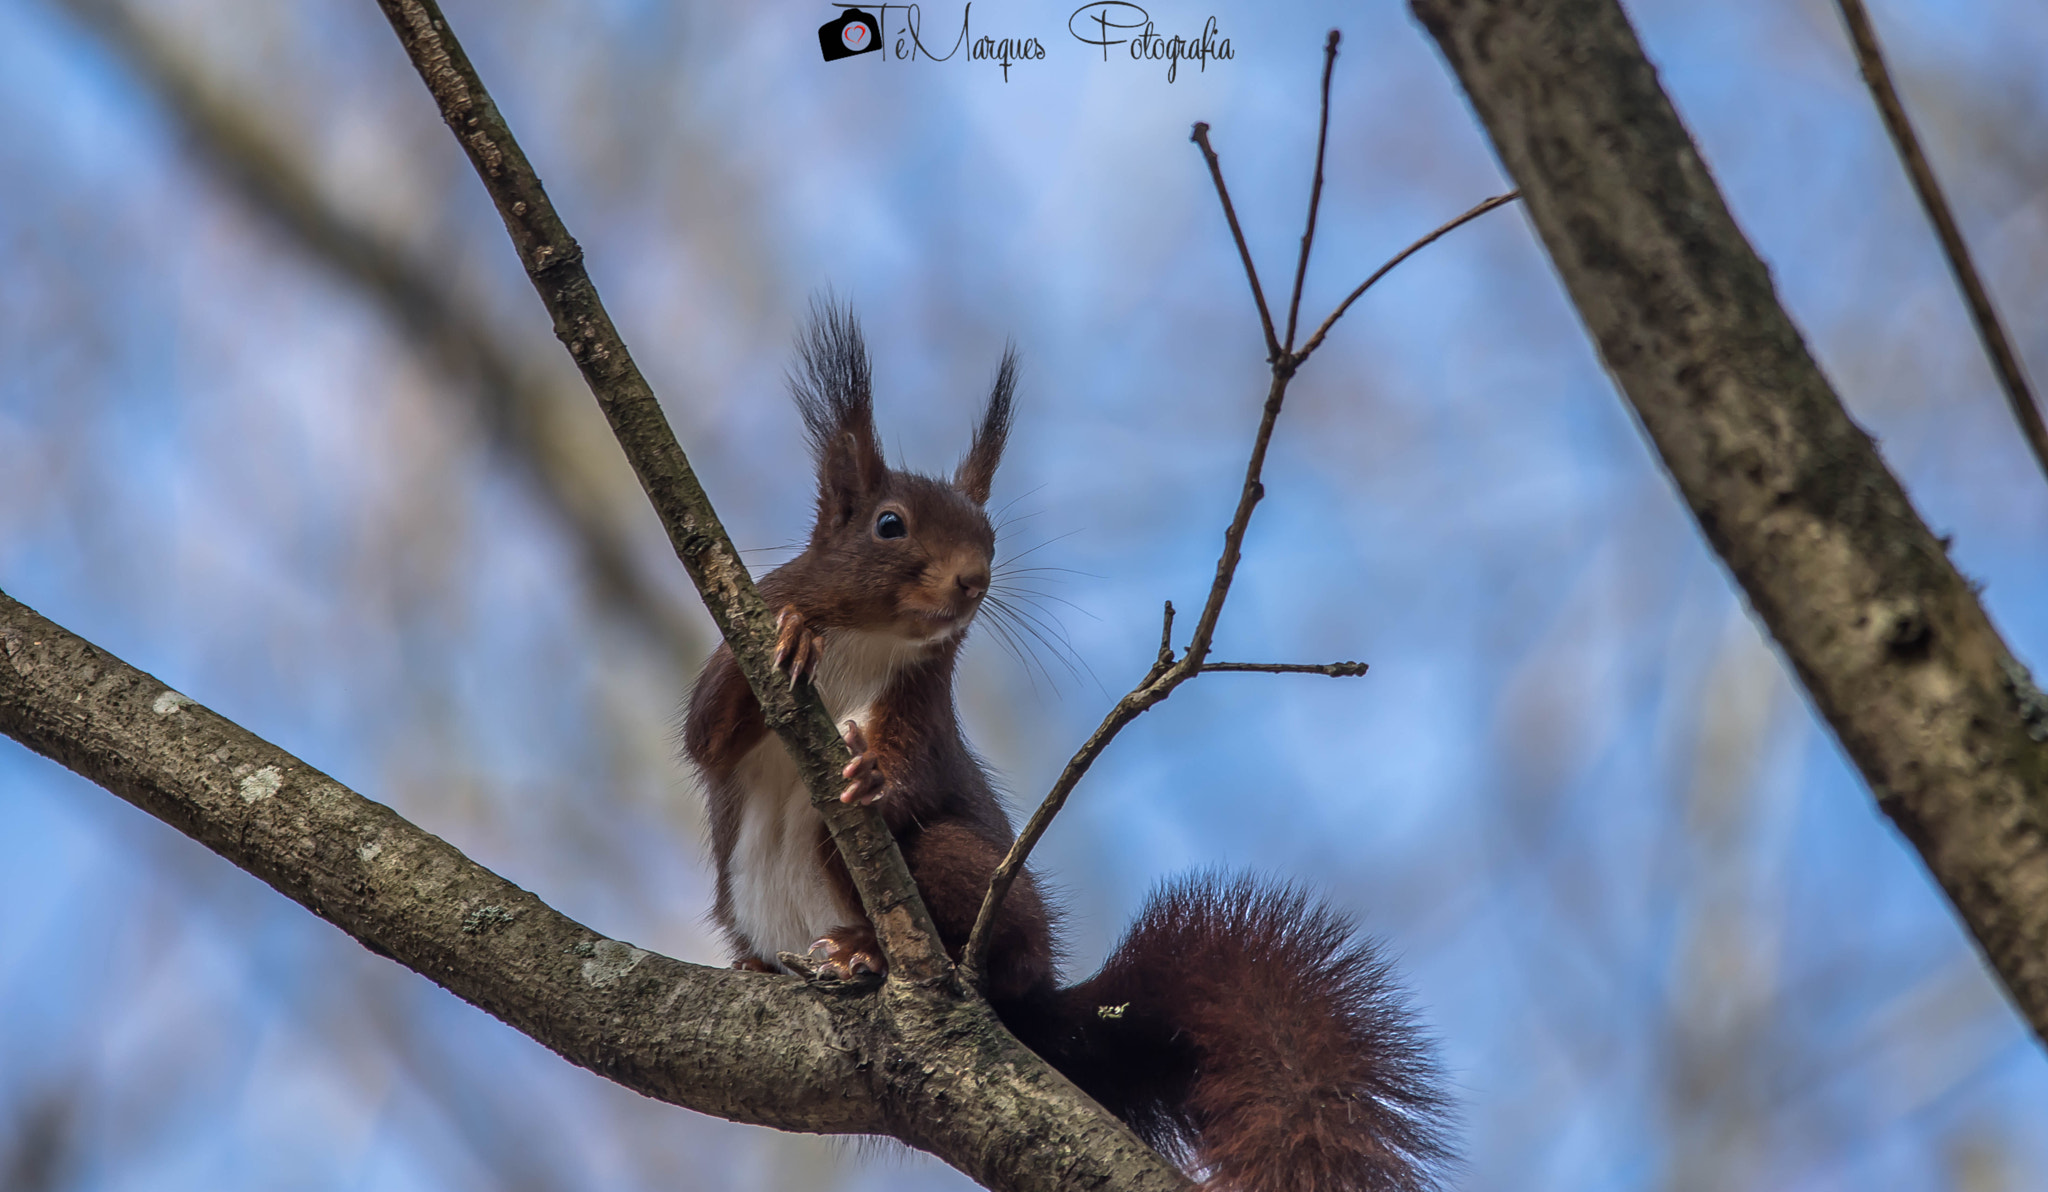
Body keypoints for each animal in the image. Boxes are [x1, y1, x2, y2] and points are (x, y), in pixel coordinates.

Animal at [679, 303, 1449, 1187]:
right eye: (888, 525)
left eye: (989, 534)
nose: (973, 580)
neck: (870, 642)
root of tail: (1045, 1009)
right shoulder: (746, 637)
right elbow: (707, 733)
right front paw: (797, 631)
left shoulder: (922, 709)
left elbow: (910, 774)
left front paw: (874, 776)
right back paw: (773, 964)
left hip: (964, 881)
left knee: (984, 949)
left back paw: (868, 951)